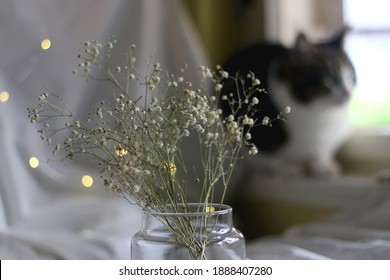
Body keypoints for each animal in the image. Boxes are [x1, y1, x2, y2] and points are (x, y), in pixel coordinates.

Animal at [221, 29, 354, 176]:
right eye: (330, 80)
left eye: (352, 76)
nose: (348, 93)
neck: (319, 113)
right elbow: (269, 159)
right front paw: (287, 169)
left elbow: (322, 151)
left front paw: (322, 166)